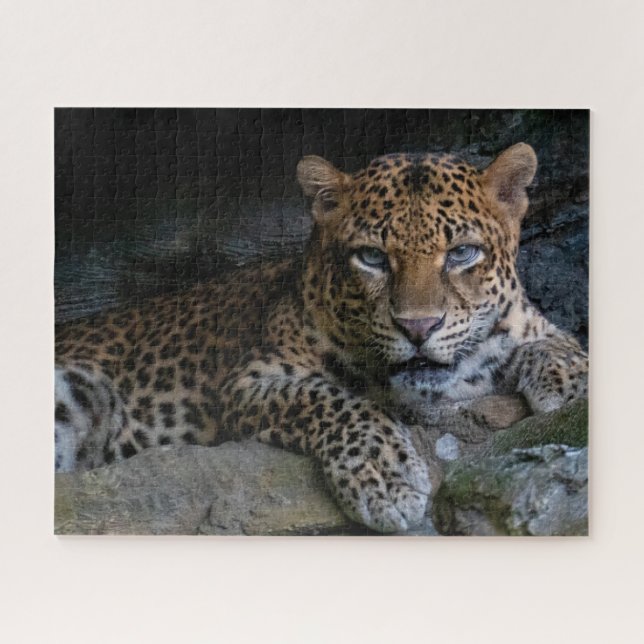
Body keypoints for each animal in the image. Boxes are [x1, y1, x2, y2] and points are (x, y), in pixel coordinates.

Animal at [55, 143, 588, 533]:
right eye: (372, 258)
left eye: (462, 253)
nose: (418, 327)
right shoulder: (248, 382)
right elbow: (331, 400)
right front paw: (387, 478)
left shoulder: (528, 325)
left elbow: (559, 343)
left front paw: (571, 387)